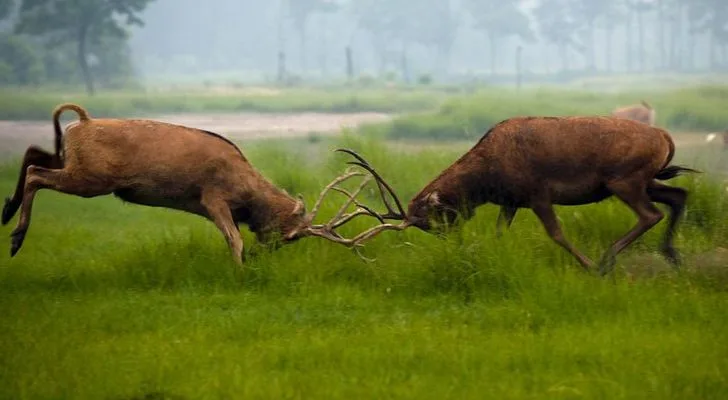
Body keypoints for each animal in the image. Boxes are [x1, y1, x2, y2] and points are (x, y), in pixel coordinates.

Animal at [1, 103, 406, 264]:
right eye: (292, 234)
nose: (268, 252)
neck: (247, 191)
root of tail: (80, 122)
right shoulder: (212, 198)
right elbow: (234, 239)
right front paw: (241, 271)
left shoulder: (211, 206)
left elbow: (232, 237)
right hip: (91, 178)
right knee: (37, 172)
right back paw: (16, 237)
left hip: (76, 163)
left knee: (35, 152)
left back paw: (7, 211)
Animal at [333, 116, 699, 275]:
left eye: (434, 219)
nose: (452, 241)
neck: (486, 177)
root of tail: (666, 137)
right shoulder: (511, 203)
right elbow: (499, 234)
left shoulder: (537, 194)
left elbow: (556, 233)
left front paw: (589, 265)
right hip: (645, 180)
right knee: (678, 195)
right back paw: (674, 257)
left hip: (624, 180)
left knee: (651, 214)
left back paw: (608, 258)